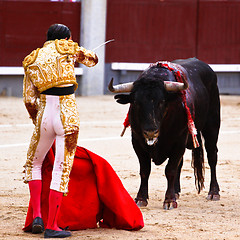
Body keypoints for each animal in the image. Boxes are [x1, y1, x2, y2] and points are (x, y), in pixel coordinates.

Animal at [108, 57, 220, 209]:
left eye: (161, 101)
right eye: (136, 102)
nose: (150, 131)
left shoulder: (179, 140)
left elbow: (170, 170)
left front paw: (169, 200)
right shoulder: (137, 141)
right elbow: (145, 170)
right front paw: (141, 198)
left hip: (212, 126)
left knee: (212, 156)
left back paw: (213, 192)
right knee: (180, 164)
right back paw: (177, 191)